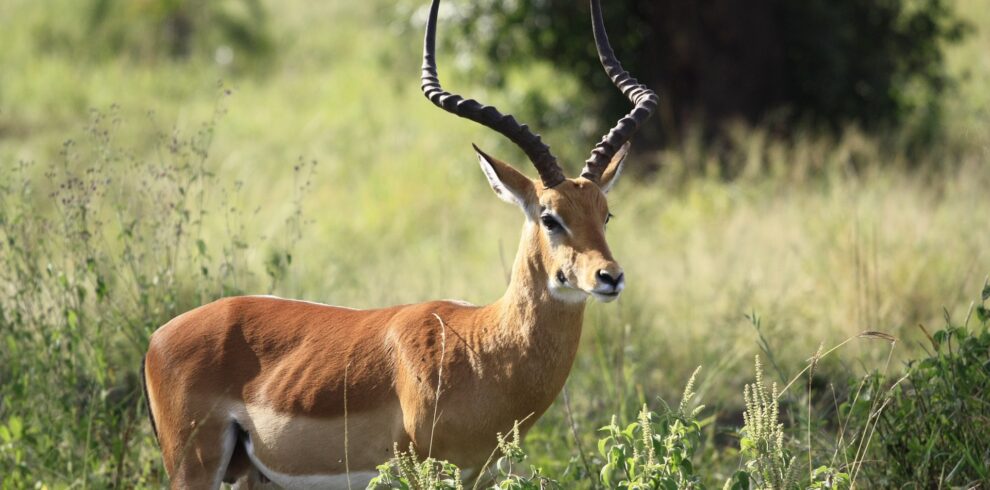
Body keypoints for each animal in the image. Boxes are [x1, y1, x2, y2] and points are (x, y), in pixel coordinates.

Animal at [142, 0, 657, 487]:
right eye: (550, 218)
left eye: (605, 214)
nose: (610, 277)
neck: (483, 345)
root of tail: (157, 338)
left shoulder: (479, 475)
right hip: (194, 469)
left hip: (253, 477)